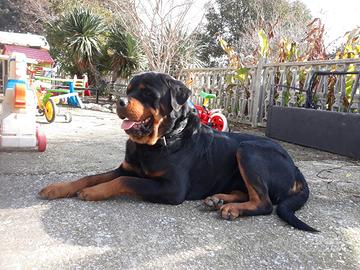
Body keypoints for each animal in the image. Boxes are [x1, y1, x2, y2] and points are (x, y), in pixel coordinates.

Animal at [38, 71, 318, 232]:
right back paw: (218, 200)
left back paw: (231, 209)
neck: (158, 142)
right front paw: (57, 188)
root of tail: (297, 169)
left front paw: (93, 192)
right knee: (247, 192)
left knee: (265, 202)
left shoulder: (173, 188)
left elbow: (124, 181)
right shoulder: (126, 166)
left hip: (248, 149)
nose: (119, 101)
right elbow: (93, 175)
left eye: (147, 93)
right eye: (128, 90)